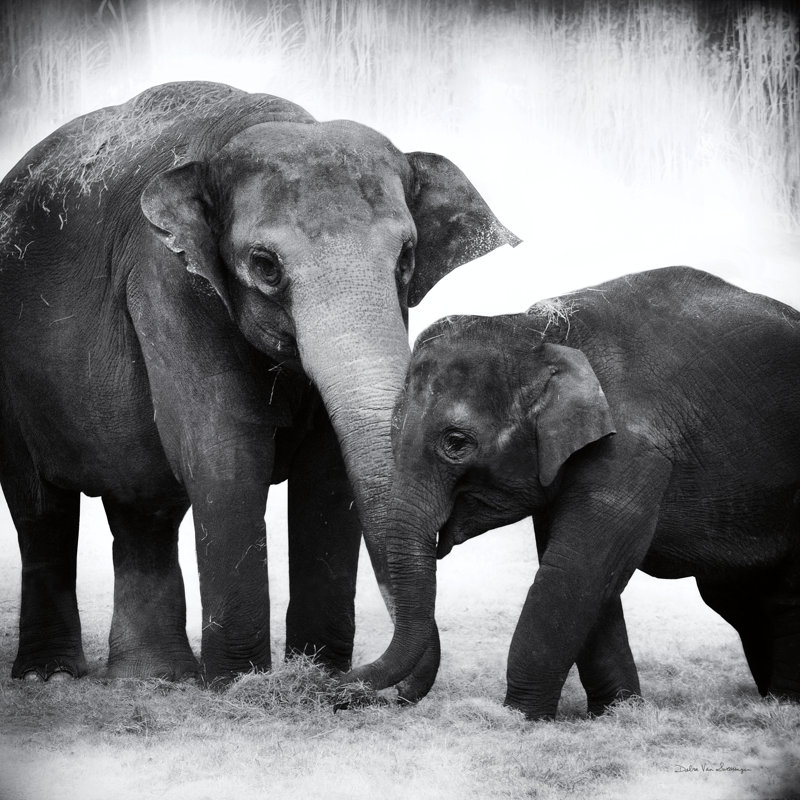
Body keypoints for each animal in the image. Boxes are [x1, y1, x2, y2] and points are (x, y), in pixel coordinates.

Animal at [0, 81, 519, 689]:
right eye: (265, 264)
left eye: (407, 257)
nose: (351, 683)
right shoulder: (168, 280)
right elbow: (225, 453)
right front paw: (240, 685)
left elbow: (329, 470)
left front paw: (314, 672)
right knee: (42, 509)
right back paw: (51, 676)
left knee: (142, 506)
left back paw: (154, 678)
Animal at [345, 266, 800, 719]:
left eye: (456, 443)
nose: (342, 689)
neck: (541, 332)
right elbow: (586, 578)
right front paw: (615, 714)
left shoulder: (631, 450)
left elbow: (574, 570)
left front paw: (519, 717)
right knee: (741, 600)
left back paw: (783, 704)